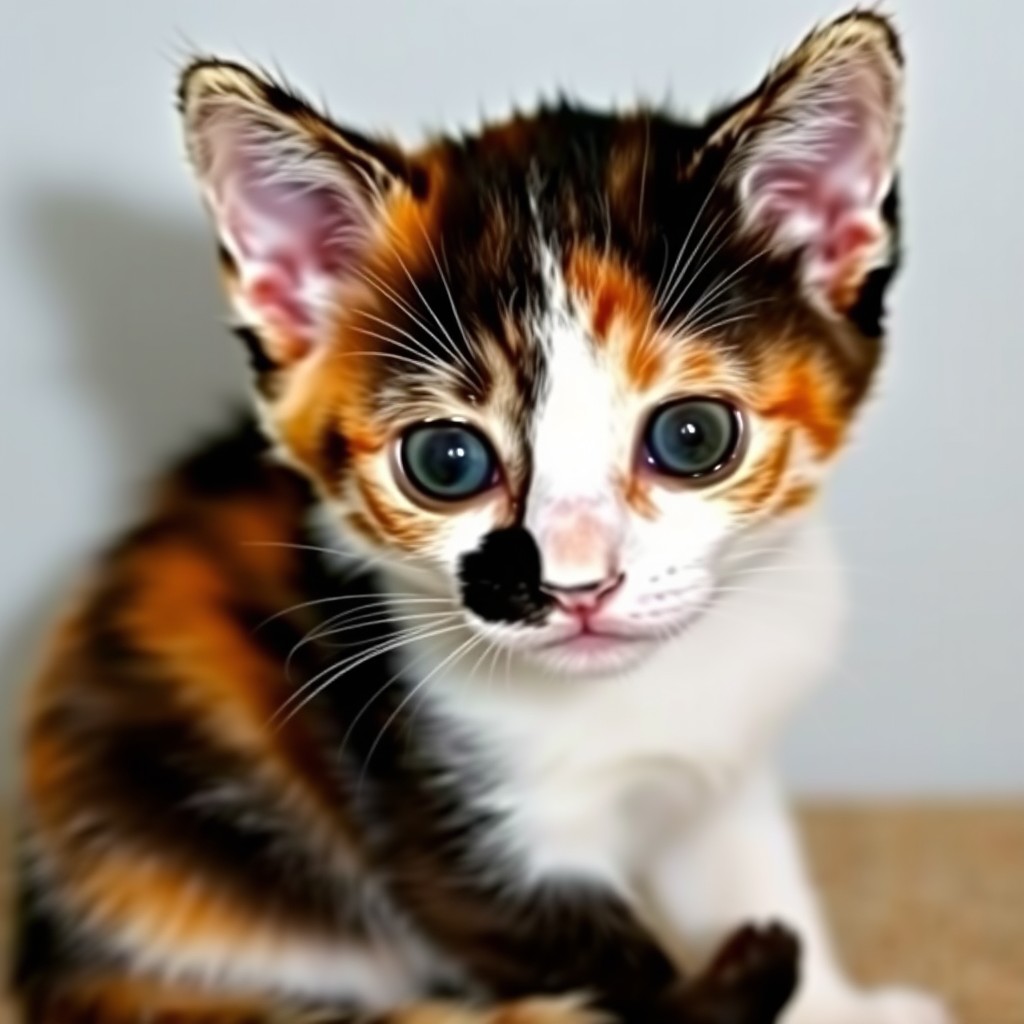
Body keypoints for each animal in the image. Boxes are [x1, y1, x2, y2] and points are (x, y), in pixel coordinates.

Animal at [12, 8, 946, 1024]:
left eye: (693, 436)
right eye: (446, 462)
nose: (576, 585)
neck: (643, 694)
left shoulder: (725, 757)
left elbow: (754, 866)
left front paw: (835, 1000)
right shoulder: (447, 823)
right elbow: (621, 986)